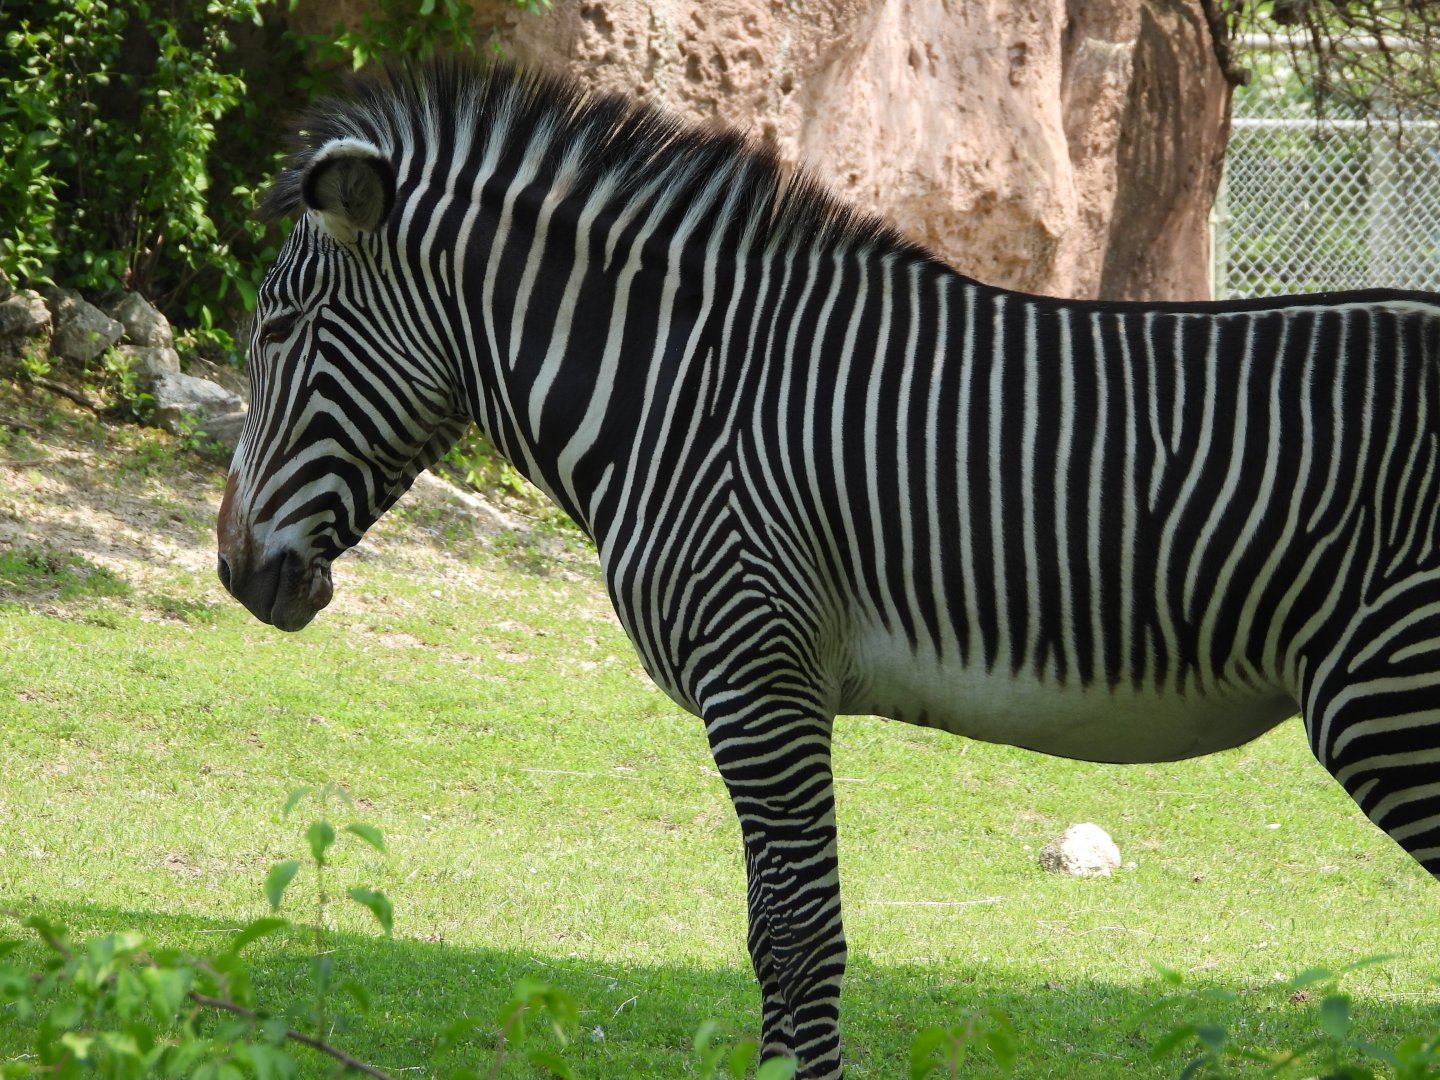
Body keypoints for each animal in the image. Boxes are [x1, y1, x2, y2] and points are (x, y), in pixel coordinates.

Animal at [216, 58, 1440, 1078]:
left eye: (274, 332)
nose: (233, 572)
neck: (684, 394)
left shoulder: (758, 674)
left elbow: (797, 937)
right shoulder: (771, 683)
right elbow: (780, 933)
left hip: (1388, 699)